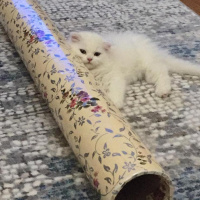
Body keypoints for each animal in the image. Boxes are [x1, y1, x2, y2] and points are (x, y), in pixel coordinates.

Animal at [68, 31, 200, 108]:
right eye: (83, 51)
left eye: (97, 54)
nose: (89, 59)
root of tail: (156, 51)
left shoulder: (115, 77)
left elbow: (115, 91)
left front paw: (115, 103)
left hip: (149, 67)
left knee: (163, 73)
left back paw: (163, 91)